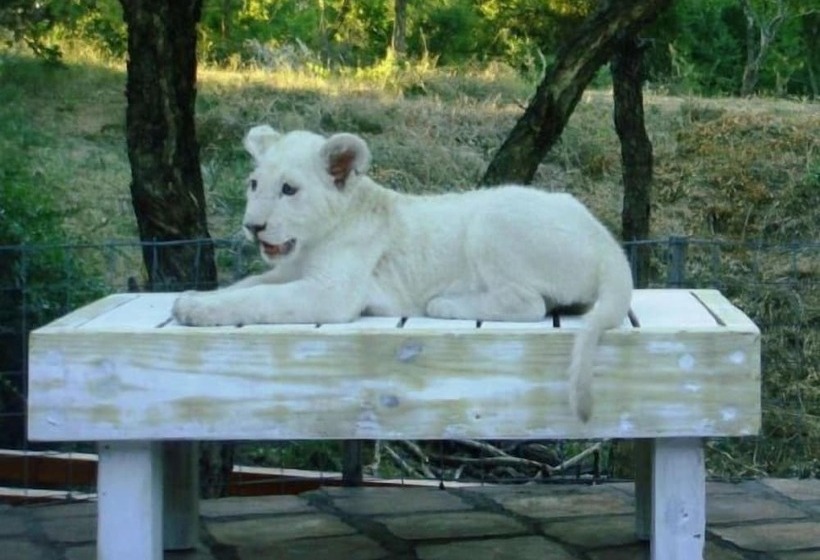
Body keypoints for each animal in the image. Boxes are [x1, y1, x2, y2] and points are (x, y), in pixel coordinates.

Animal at [172, 125, 634, 421]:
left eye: (289, 190)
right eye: (254, 184)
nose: (253, 226)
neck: (312, 241)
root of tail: (608, 243)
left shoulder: (331, 292)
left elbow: (259, 298)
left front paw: (194, 309)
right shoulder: (290, 272)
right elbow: (248, 285)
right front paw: (197, 297)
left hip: (493, 219)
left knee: (529, 303)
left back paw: (446, 303)